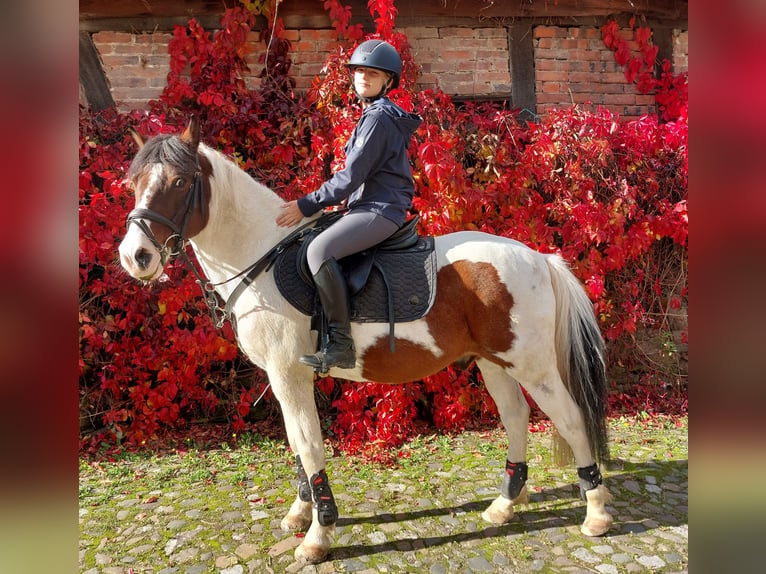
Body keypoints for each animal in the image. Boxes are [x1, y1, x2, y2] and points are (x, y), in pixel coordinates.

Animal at [118, 117, 614, 563]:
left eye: (180, 181)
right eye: (134, 183)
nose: (134, 257)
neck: (260, 257)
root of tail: (540, 257)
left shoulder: (289, 375)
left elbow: (309, 445)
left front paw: (318, 536)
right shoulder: (283, 380)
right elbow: (297, 445)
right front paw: (301, 514)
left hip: (533, 366)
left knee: (571, 419)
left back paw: (595, 513)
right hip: (494, 362)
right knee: (516, 418)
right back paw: (505, 505)